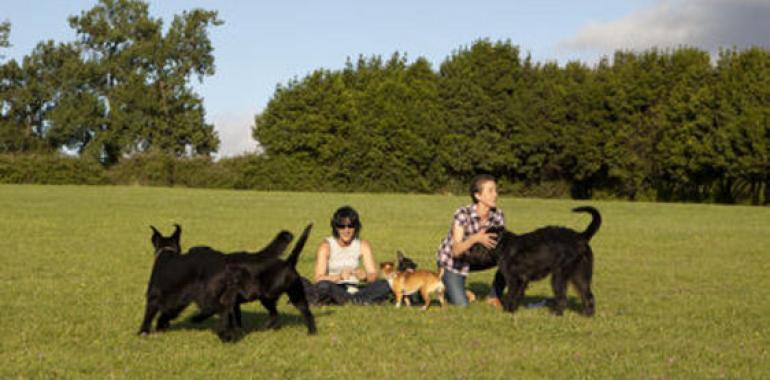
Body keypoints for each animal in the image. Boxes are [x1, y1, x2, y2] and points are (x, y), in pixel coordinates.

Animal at [136, 223, 292, 338]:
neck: (166, 252)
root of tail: (225, 258)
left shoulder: (154, 296)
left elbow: (149, 314)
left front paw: (143, 332)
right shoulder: (178, 302)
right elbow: (166, 313)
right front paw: (160, 326)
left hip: (207, 295)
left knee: (219, 309)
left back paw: (219, 331)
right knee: (229, 311)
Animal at [468, 206, 600, 316]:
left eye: (482, 239)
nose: (470, 250)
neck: (503, 245)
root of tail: (581, 237)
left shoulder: (514, 279)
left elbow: (511, 295)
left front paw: (507, 311)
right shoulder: (522, 280)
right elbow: (517, 296)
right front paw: (513, 310)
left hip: (559, 276)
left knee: (562, 297)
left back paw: (556, 314)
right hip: (581, 276)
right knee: (588, 295)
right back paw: (588, 314)